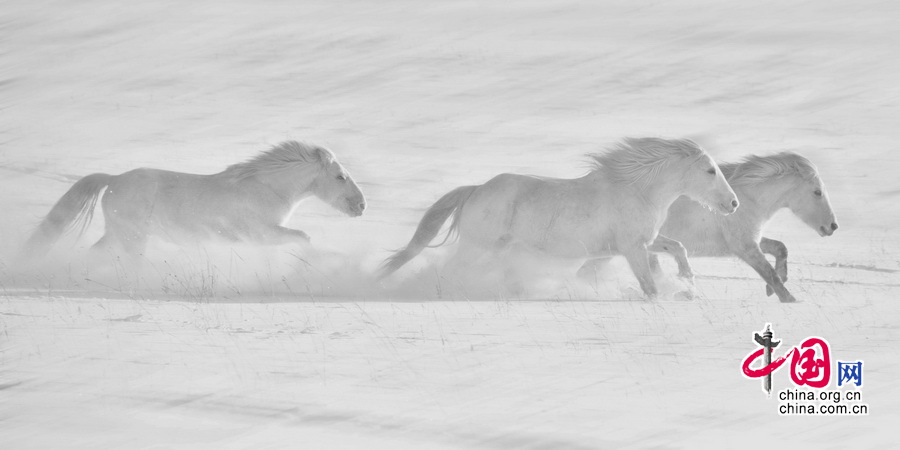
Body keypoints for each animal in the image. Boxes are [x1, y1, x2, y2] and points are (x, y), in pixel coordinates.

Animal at [17, 140, 364, 260]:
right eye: (339, 177)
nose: (361, 206)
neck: (265, 189)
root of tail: (113, 180)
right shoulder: (262, 235)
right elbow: (304, 238)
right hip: (132, 237)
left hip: (118, 234)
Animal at [380, 138, 740, 298]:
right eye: (710, 171)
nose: (733, 204)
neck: (638, 191)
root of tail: (476, 189)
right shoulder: (632, 248)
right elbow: (648, 286)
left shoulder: (642, 242)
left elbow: (678, 247)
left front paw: (687, 281)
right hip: (477, 246)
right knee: (451, 270)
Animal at [584, 151, 836, 302]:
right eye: (817, 192)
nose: (832, 226)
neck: (748, 199)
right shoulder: (744, 246)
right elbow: (768, 272)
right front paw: (789, 299)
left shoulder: (749, 240)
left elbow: (780, 248)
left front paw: (774, 288)